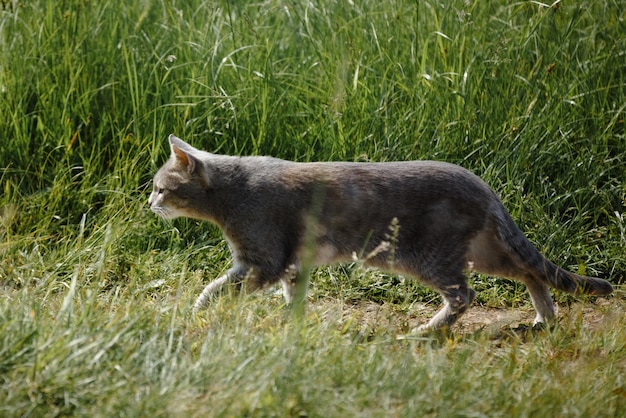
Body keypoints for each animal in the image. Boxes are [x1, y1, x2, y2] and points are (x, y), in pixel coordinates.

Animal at [150, 134, 608, 330]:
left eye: (161, 187)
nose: (148, 202)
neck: (233, 192)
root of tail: (482, 185)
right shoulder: (292, 266)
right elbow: (292, 298)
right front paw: (292, 325)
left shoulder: (262, 261)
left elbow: (215, 289)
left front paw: (197, 311)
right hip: (483, 252)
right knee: (530, 271)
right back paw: (544, 317)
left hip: (431, 257)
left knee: (466, 295)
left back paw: (427, 330)